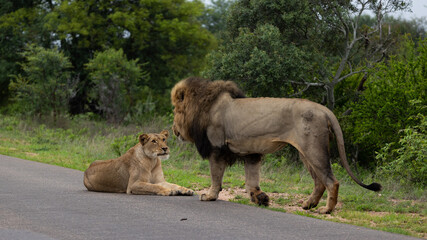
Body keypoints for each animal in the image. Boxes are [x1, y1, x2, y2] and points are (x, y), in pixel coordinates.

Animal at [172, 77, 382, 214]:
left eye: (175, 110)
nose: (173, 129)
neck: (203, 106)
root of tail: (324, 109)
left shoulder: (217, 148)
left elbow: (216, 176)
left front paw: (209, 196)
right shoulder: (251, 152)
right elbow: (251, 180)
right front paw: (260, 198)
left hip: (313, 150)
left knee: (332, 181)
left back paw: (326, 210)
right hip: (306, 153)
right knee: (319, 182)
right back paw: (308, 205)